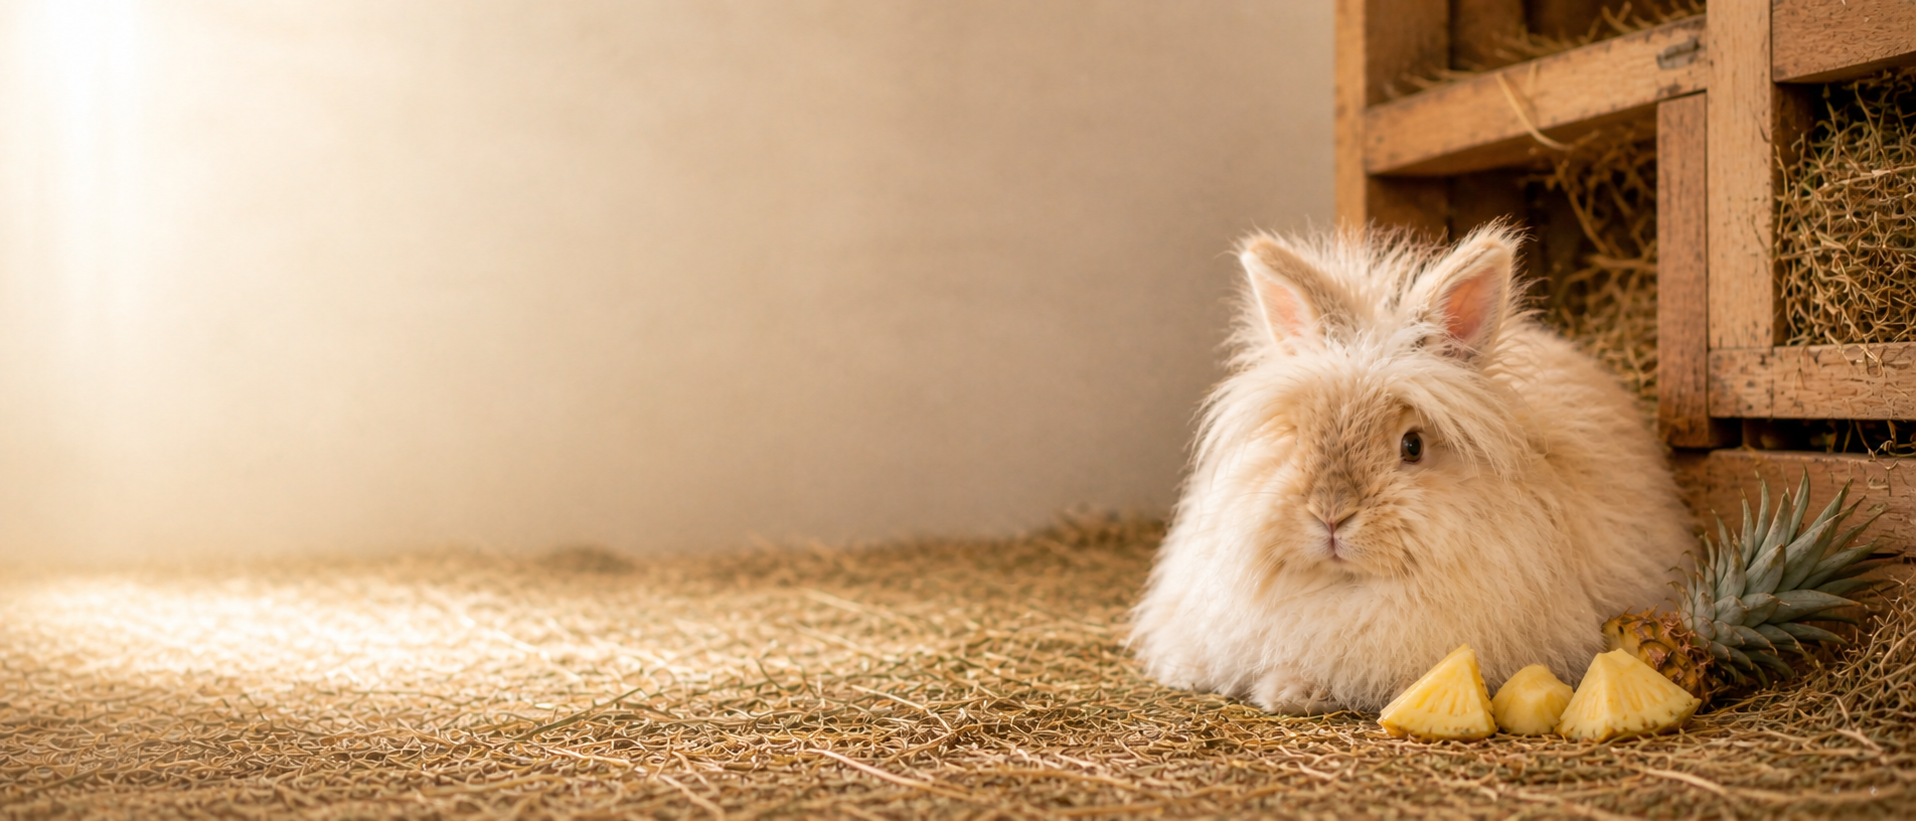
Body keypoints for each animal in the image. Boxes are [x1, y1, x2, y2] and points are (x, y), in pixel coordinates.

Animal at [1129, 223, 1695, 714]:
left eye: (1413, 445)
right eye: (1295, 438)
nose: (1331, 516)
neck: (1349, 588)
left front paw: (1291, 691)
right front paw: (1239, 683)